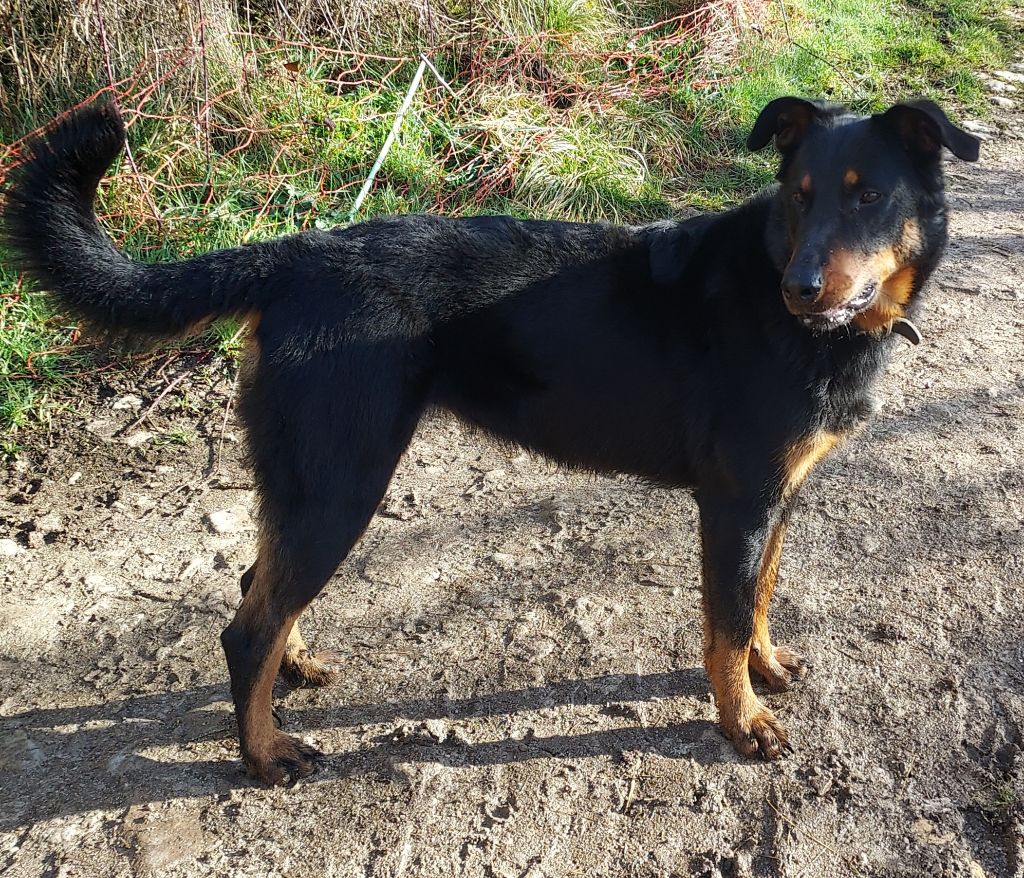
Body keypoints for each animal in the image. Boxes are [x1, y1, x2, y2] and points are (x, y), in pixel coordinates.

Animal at [2, 97, 974, 786]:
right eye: (800, 198)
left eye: (868, 196)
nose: (801, 288)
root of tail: (292, 257)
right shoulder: (735, 504)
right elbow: (725, 626)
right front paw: (742, 725)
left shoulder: (776, 499)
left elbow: (760, 601)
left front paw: (767, 670)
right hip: (342, 484)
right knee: (246, 630)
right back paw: (265, 754)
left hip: (314, 486)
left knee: (261, 593)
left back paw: (295, 669)